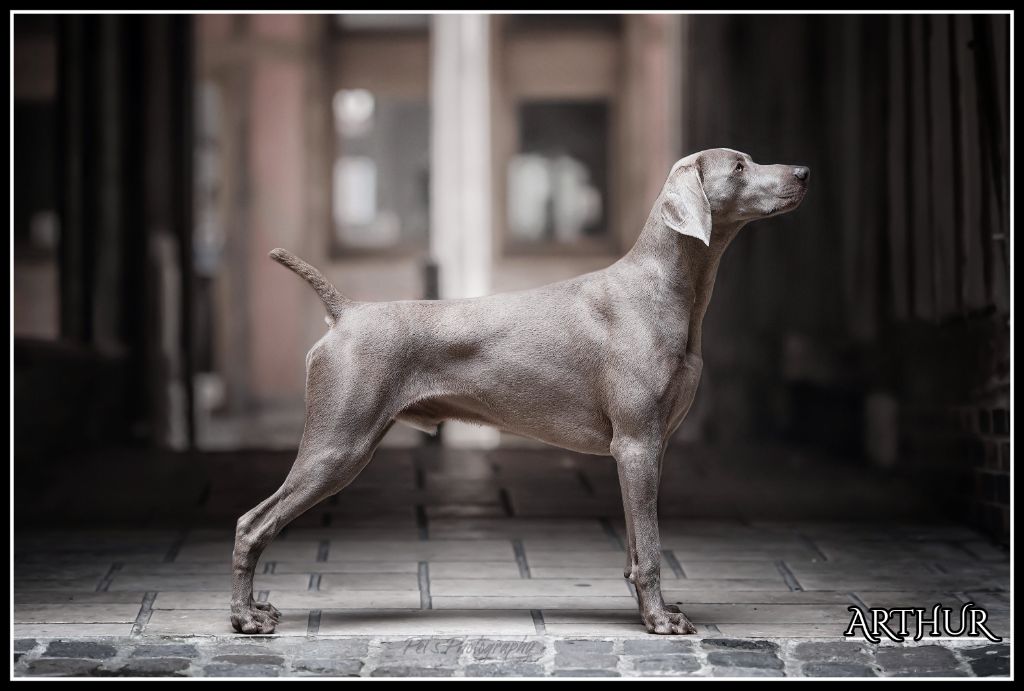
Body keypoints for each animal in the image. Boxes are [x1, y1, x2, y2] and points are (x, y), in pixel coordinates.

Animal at [230, 148, 806, 634]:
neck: (664, 290)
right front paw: (660, 621)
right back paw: (245, 618)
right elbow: (652, 547)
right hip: (337, 446)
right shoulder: (636, 444)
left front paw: (650, 610)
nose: (803, 172)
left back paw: (256, 609)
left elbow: (635, 545)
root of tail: (345, 311)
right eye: (738, 166)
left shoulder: (648, 449)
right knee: (252, 523)